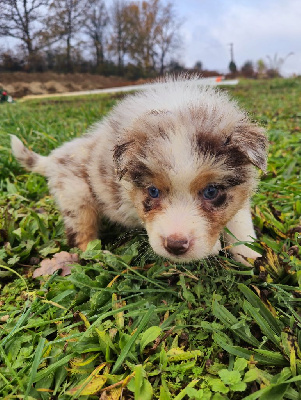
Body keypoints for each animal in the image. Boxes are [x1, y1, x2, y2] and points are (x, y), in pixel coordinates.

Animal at [11, 76, 268, 264]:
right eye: (153, 191)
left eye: (211, 192)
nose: (175, 246)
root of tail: (54, 157)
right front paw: (217, 248)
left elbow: (239, 222)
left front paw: (251, 257)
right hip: (77, 200)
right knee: (81, 239)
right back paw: (102, 255)